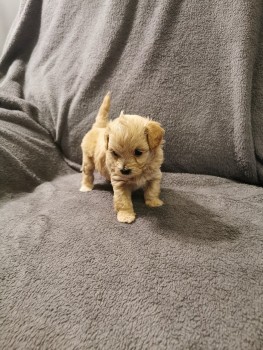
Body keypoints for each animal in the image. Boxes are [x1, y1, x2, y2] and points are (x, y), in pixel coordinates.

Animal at [80, 93, 165, 223]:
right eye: (114, 153)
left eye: (138, 152)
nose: (124, 170)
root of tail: (98, 127)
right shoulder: (120, 182)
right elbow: (123, 201)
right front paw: (126, 215)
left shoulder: (155, 175)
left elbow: (153, 190)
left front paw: (154, 202)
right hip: (87, 160)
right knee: (87, 174)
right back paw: (86, 187)